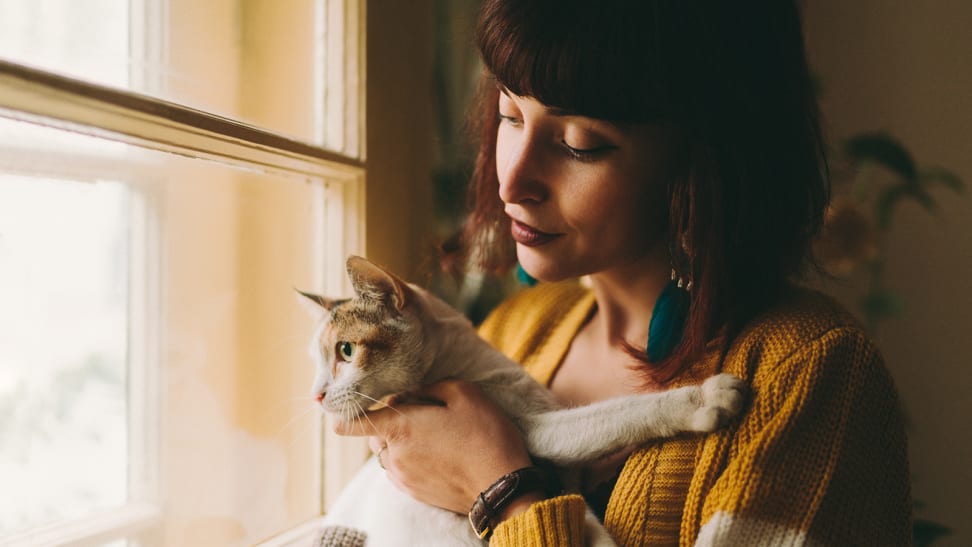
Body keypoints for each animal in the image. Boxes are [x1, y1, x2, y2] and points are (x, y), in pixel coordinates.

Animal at [302, 258, 744, 547]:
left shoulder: (564, 466)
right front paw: (703, 399)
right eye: (318, 361)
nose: (316, 394)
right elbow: (622, 412)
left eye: (345, 351)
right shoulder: (538, 430)